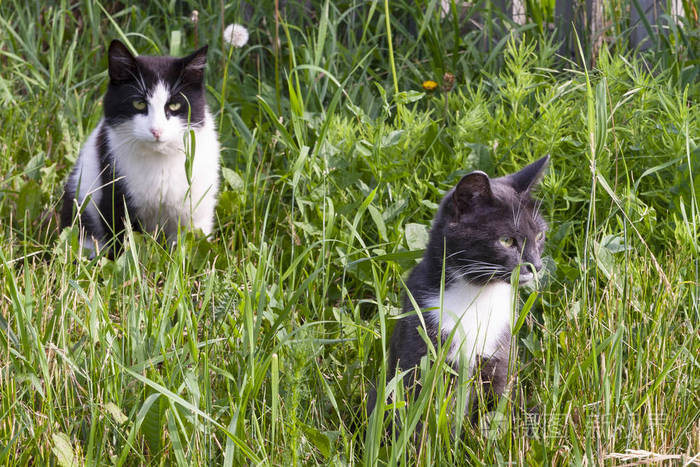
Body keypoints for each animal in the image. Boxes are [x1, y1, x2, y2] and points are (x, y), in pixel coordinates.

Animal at [60, 41, 220, 256]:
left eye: (175, 105)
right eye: (139, 103)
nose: (156, 130)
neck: (160, 161)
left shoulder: (195, 206)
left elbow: (192, 243)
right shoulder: (115, 193)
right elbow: (122, 241)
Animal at [370, 156, 548, 420]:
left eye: (539, 236)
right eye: (506, 240)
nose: (536, 265)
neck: (478, 296)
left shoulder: (499, 352)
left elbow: (497, 408)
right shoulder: (422, 343)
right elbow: (417, 413)